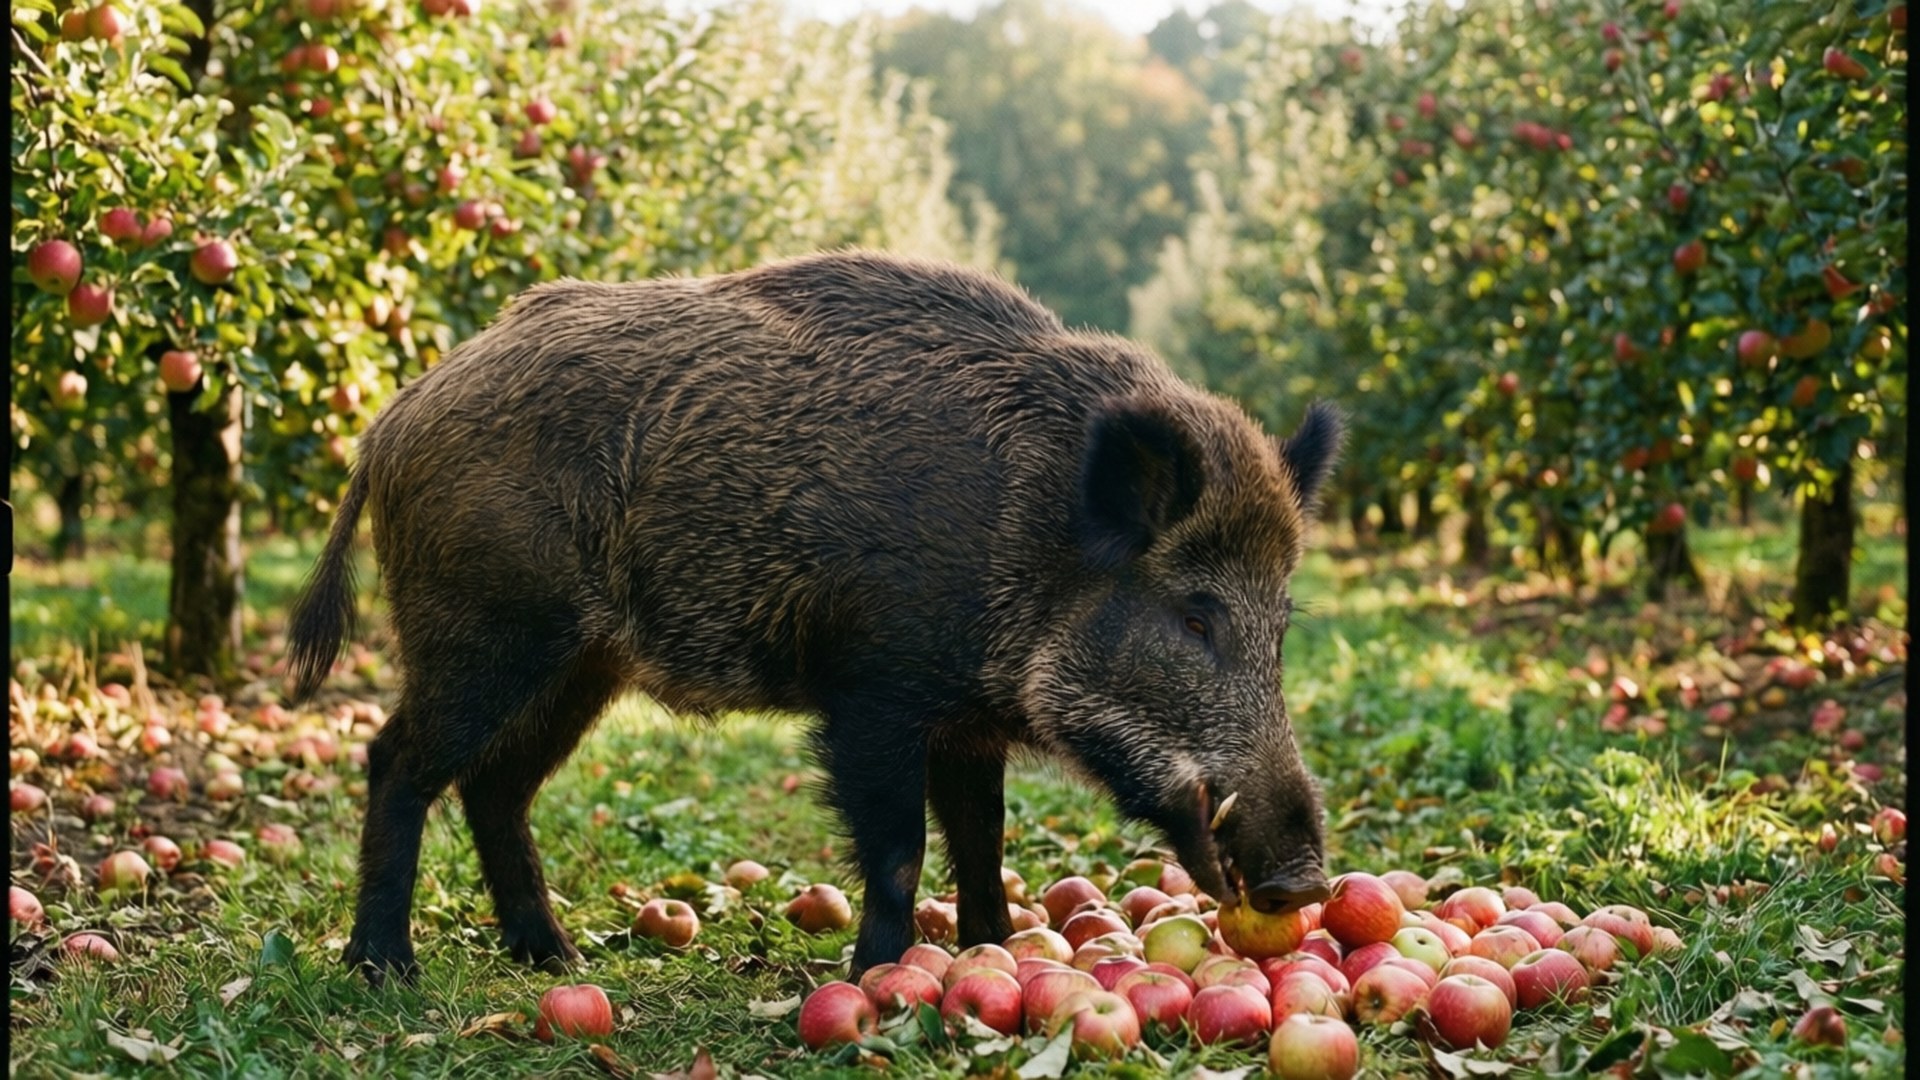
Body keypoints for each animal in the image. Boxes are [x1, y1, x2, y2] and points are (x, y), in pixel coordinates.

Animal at [286, 250, 1341, 986]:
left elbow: (982, 839)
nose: (1302, 881)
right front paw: (879, 974)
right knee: (399, 760)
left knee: (496, 786)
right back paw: (385, 969)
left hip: (583, 666)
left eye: (1282, 625)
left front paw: (994, 953)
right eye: (1196, 616)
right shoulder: (873, 691)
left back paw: (556, 958)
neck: (1033, 534)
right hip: (483, 632)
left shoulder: (967, 719)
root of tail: (393, 419)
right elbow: (901, 845)